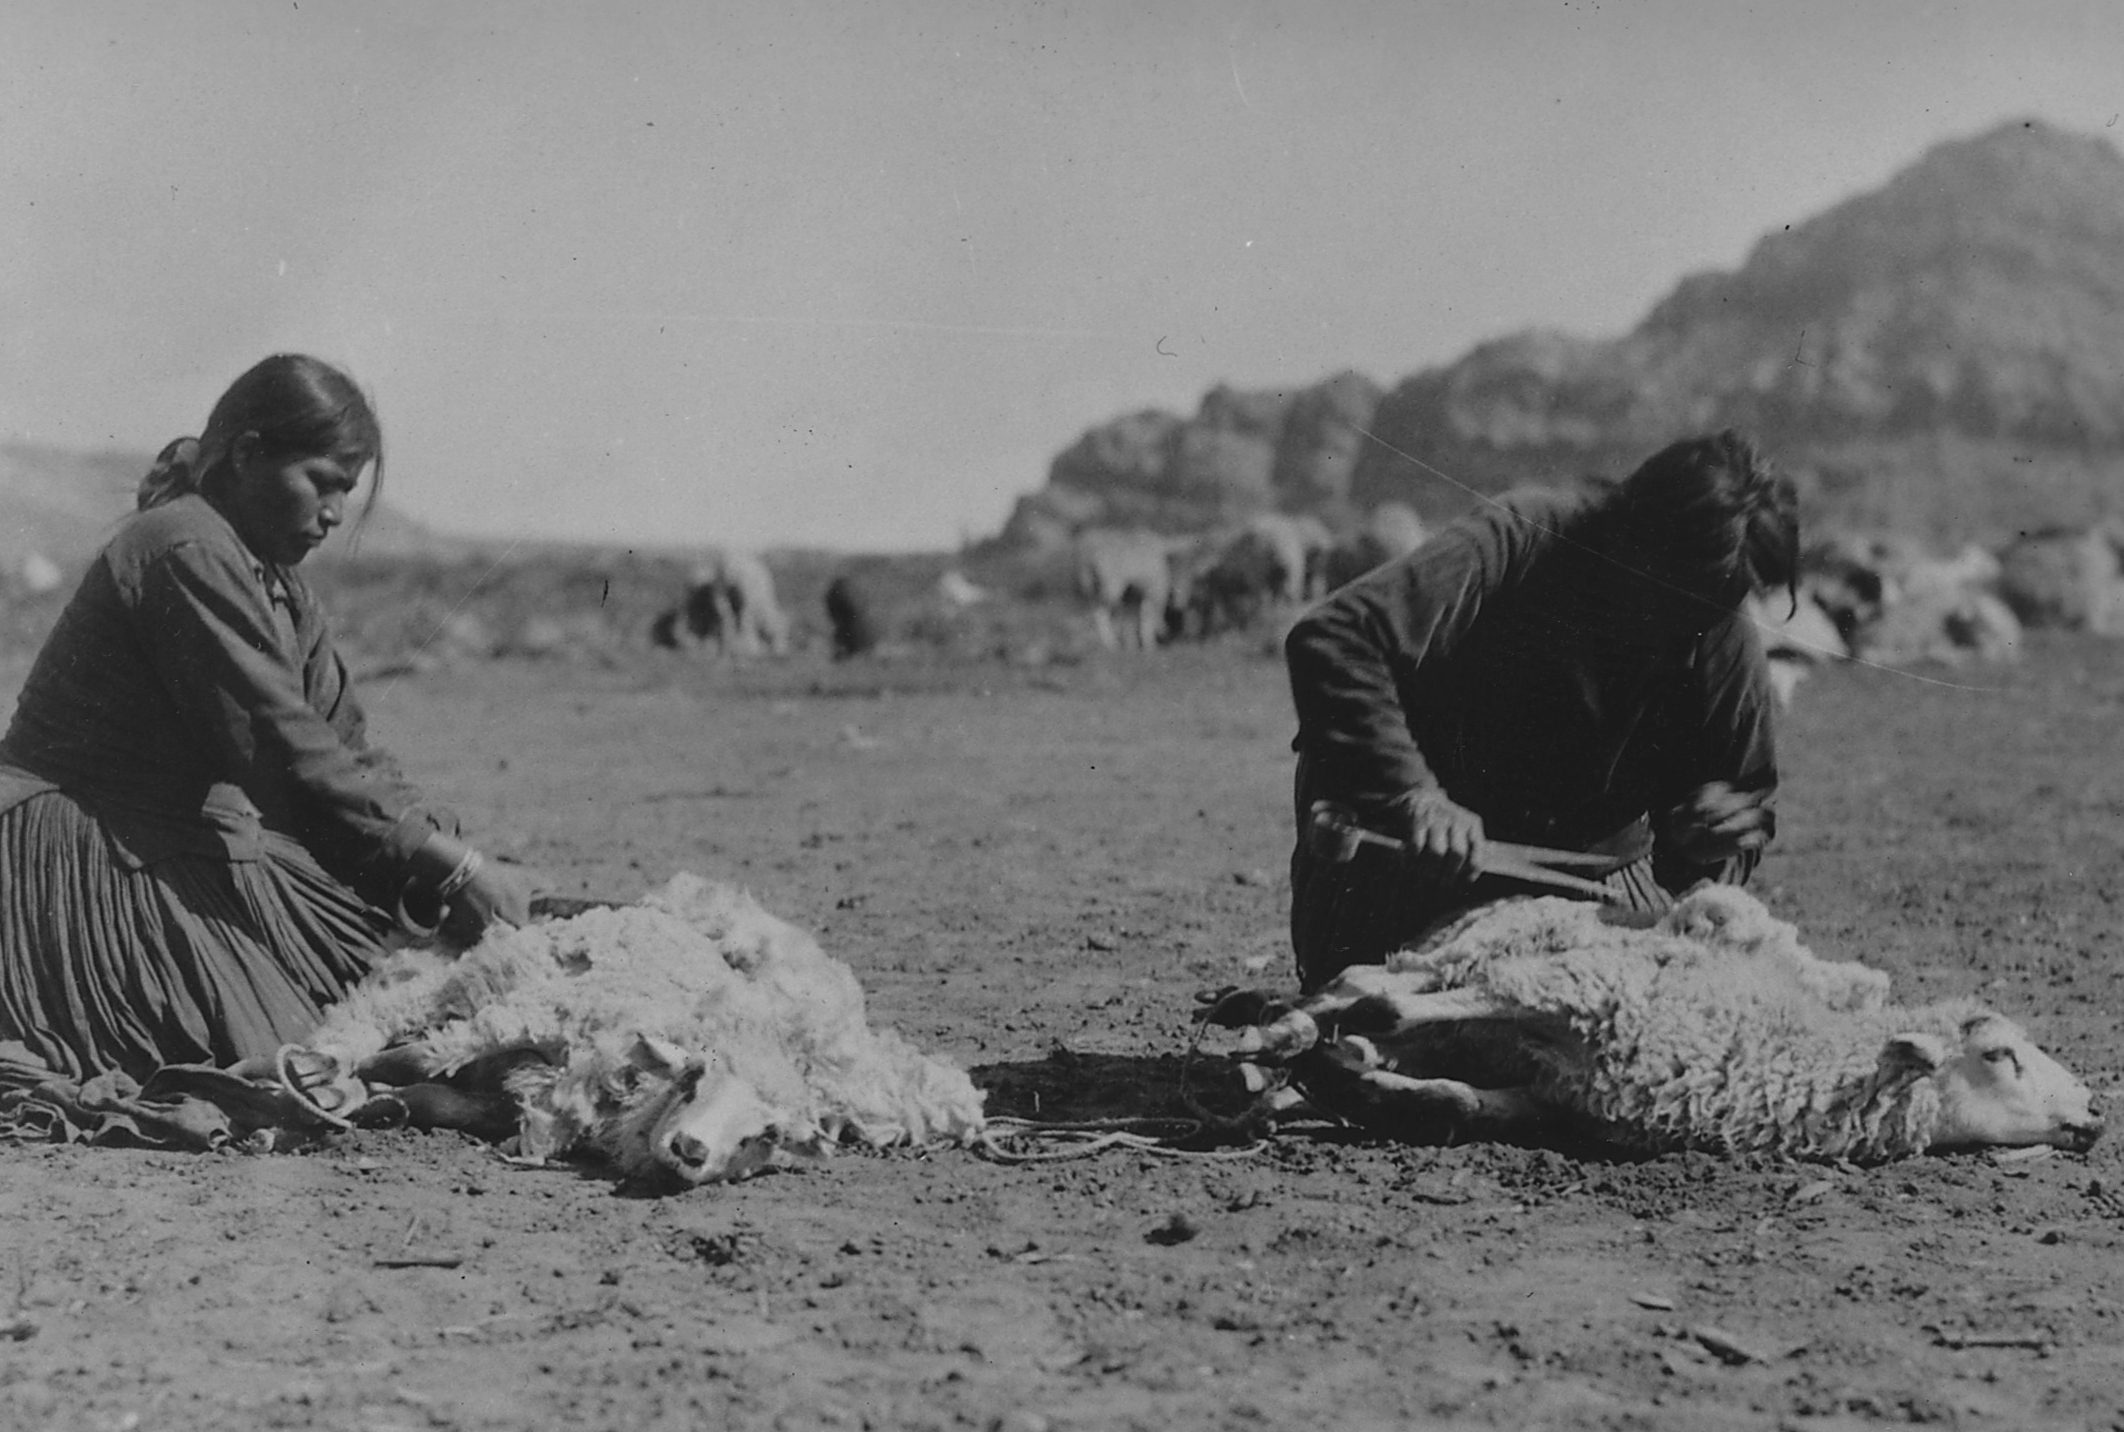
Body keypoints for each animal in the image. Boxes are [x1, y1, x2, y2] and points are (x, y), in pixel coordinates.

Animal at [287, 874, 986, 1185]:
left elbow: (439, 1094)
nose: (692, 1149)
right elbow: (422, 1056)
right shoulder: (529, 1014)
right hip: (479, 969)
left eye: (765, 1136)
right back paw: (321, 1066)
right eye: (697, 1077)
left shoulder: (516, 1090)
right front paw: (347, 1083)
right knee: (392, 1011)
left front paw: (380, 1104)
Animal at [1225, 885, 2100, 1163]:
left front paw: (1351, 1082)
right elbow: (1386, 1012)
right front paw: (1313, 1057)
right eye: (2000, 1054)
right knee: (1369, 985)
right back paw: (1272, 1041)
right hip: (1468, 953)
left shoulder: (1563, 1093)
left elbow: (1461, 1104)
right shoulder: (1576, 989)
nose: (2096, 1112)